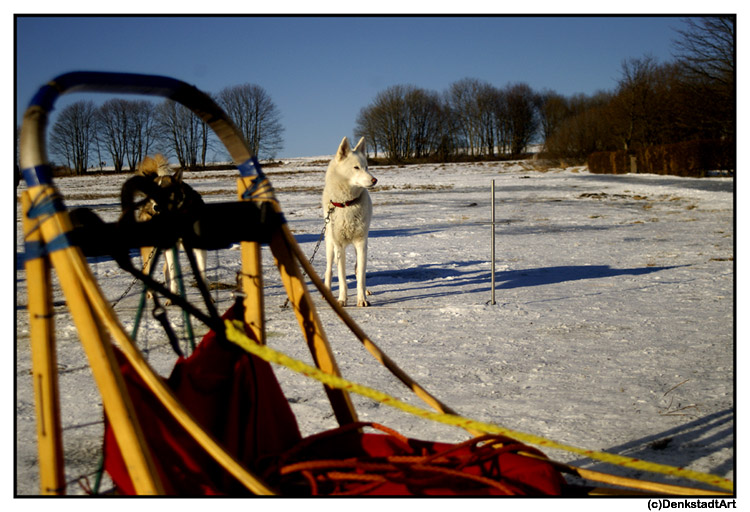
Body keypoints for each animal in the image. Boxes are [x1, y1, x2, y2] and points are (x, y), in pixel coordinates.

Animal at [137, 153, 209, 304]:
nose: (156, 207)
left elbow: (201, 271)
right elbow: (173, 270)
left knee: (165, 269)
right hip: (151, 249)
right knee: (148, 270)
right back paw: (151, 293)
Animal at [324, 136, 382, 306]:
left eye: (367, 167)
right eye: (356, 167)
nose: (375, 180)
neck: (347, 204)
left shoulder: (361, 243)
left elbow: (361, 274)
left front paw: (362, 299)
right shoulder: (339, 246)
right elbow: (342, 277)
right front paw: (342, 300)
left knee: (357, 269)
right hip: (330, 245)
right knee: (329, 270)